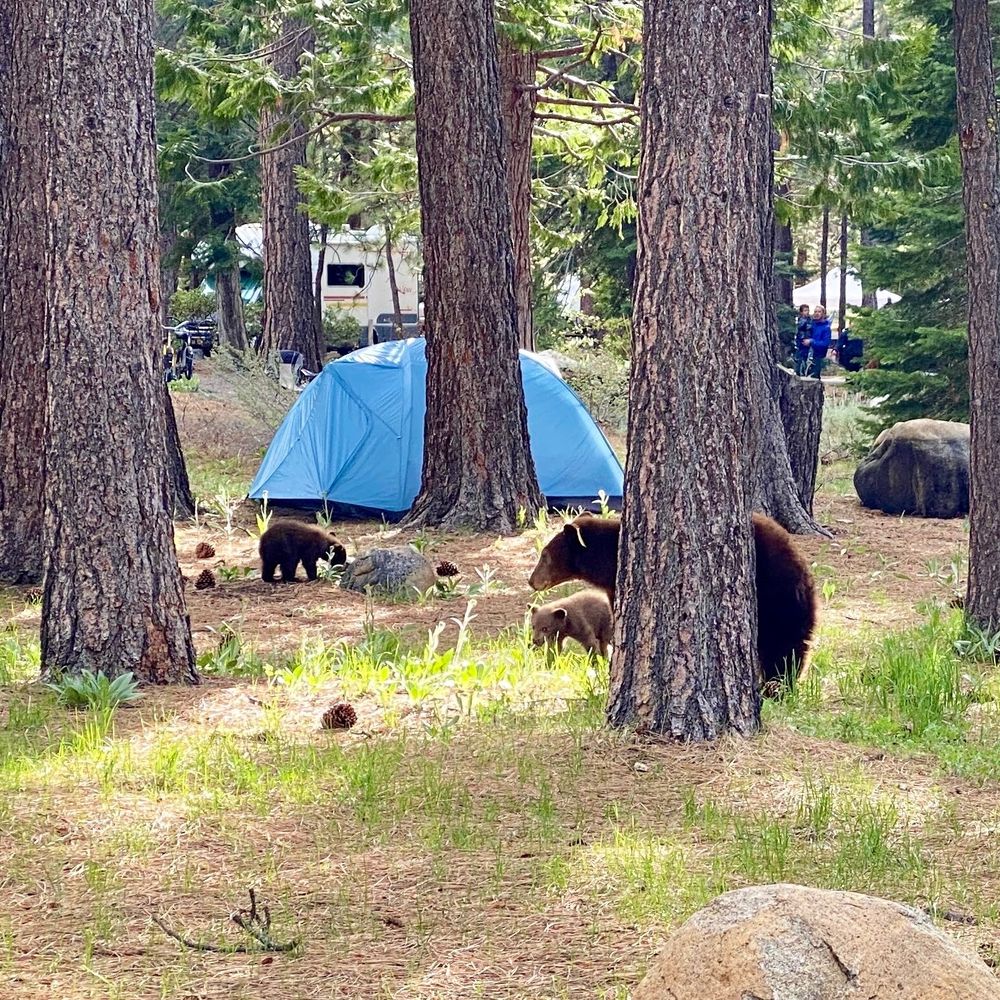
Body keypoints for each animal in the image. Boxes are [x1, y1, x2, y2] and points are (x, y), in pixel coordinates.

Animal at [528, 511, 817, 689]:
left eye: (545, 555)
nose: (531, 580)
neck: (608, 558)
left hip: (775, 594)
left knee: (782, 643)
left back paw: (776, 686)